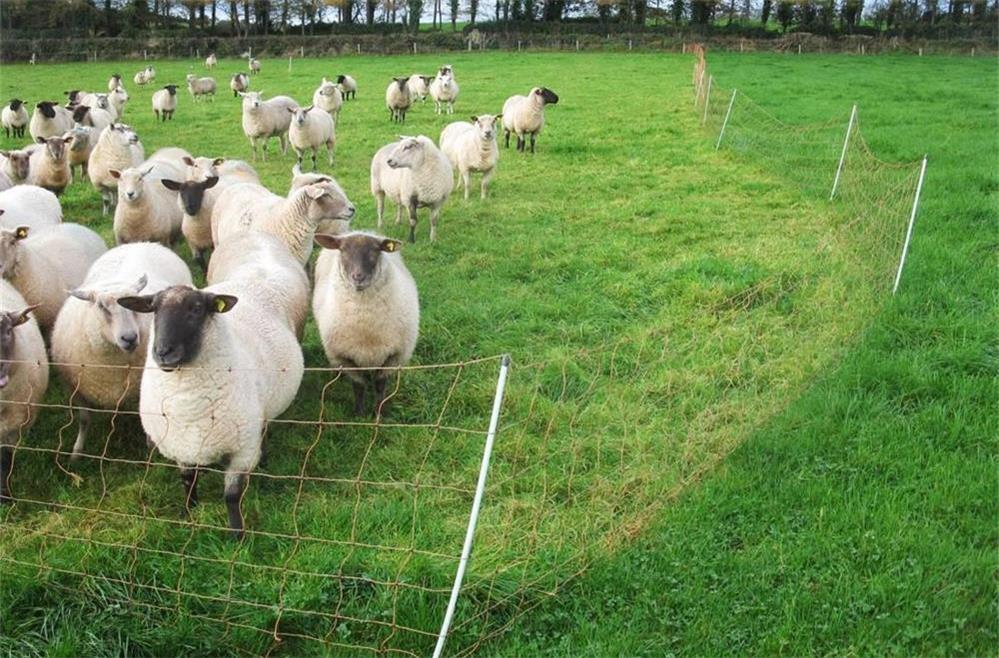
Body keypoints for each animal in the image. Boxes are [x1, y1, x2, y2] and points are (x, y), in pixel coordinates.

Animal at [50, 242, 195, 462]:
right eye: (102, 307)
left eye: (136, 306)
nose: (130, 338)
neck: (114, 366)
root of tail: (140, 243)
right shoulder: (76, 386)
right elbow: (84, 420)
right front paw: (76, 453)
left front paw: (150, 448)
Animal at [117, 233, 304, 536]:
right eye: (154, 310)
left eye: (196, 309)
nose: (163, 352)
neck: (188, 402)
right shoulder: (180, 443)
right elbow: (187, 480)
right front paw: (189, 512)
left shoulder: (241, 449)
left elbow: (231, 495)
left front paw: (237, 534)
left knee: (264, 428)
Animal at [314, 232, 420, 416]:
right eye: (343, 250)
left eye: (375, 251)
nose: (358, 277)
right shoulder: (345, 356)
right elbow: (359, 385)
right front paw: (359, 413)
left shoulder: (394, 355)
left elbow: (380, 385)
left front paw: (379, 412)